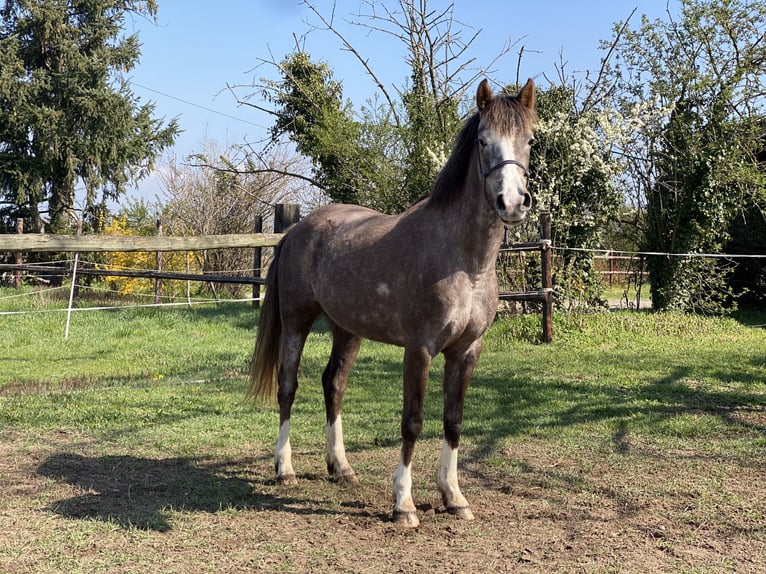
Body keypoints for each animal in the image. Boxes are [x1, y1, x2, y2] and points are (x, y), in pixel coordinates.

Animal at [248, 78, 537, 528]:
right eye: (483, 140)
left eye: (530, 140)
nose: (512, 202)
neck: (464, 262)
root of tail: (298, 229)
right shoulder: (419, 350)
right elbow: (413, 422)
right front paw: (404, 504)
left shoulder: (467, 351)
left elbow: (453, 421)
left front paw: (453, 496)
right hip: (296, 321)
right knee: (288, 386)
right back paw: (285, 469)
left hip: (347, 330)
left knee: (334, 384)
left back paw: (341, 468)